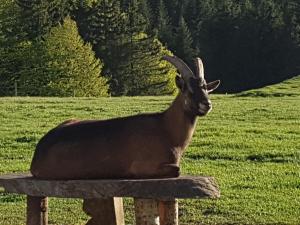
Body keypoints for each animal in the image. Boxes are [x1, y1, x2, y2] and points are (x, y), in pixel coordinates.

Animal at [31, 55, 220, 179]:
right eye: (189, 90)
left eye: (206, 88)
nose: (207, 104)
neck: (165, 129)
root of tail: (36, 159)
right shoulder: (142, 165)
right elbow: (177, 170)